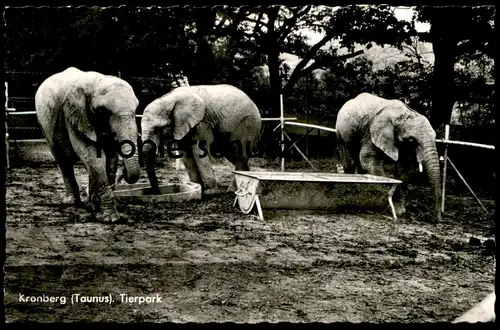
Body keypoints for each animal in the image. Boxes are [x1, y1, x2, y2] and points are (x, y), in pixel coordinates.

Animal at [35, 66, 141, 222]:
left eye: (136, 110)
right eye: (103, 111)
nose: (124, 174)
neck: (98, 81)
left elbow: (110, 159)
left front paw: (96, 208)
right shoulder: (74, 115)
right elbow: (92, 157)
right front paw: (111, 219)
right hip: (45, 125)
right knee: (63, 161)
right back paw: (71, 202)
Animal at [336, 91, 442, 223]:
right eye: (412, 141)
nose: (437, 219)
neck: (402, 112)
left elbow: (403, 171)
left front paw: (399, 211)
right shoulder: (371, 133)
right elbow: (369, 162)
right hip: (340, 132)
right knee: (349, 161)